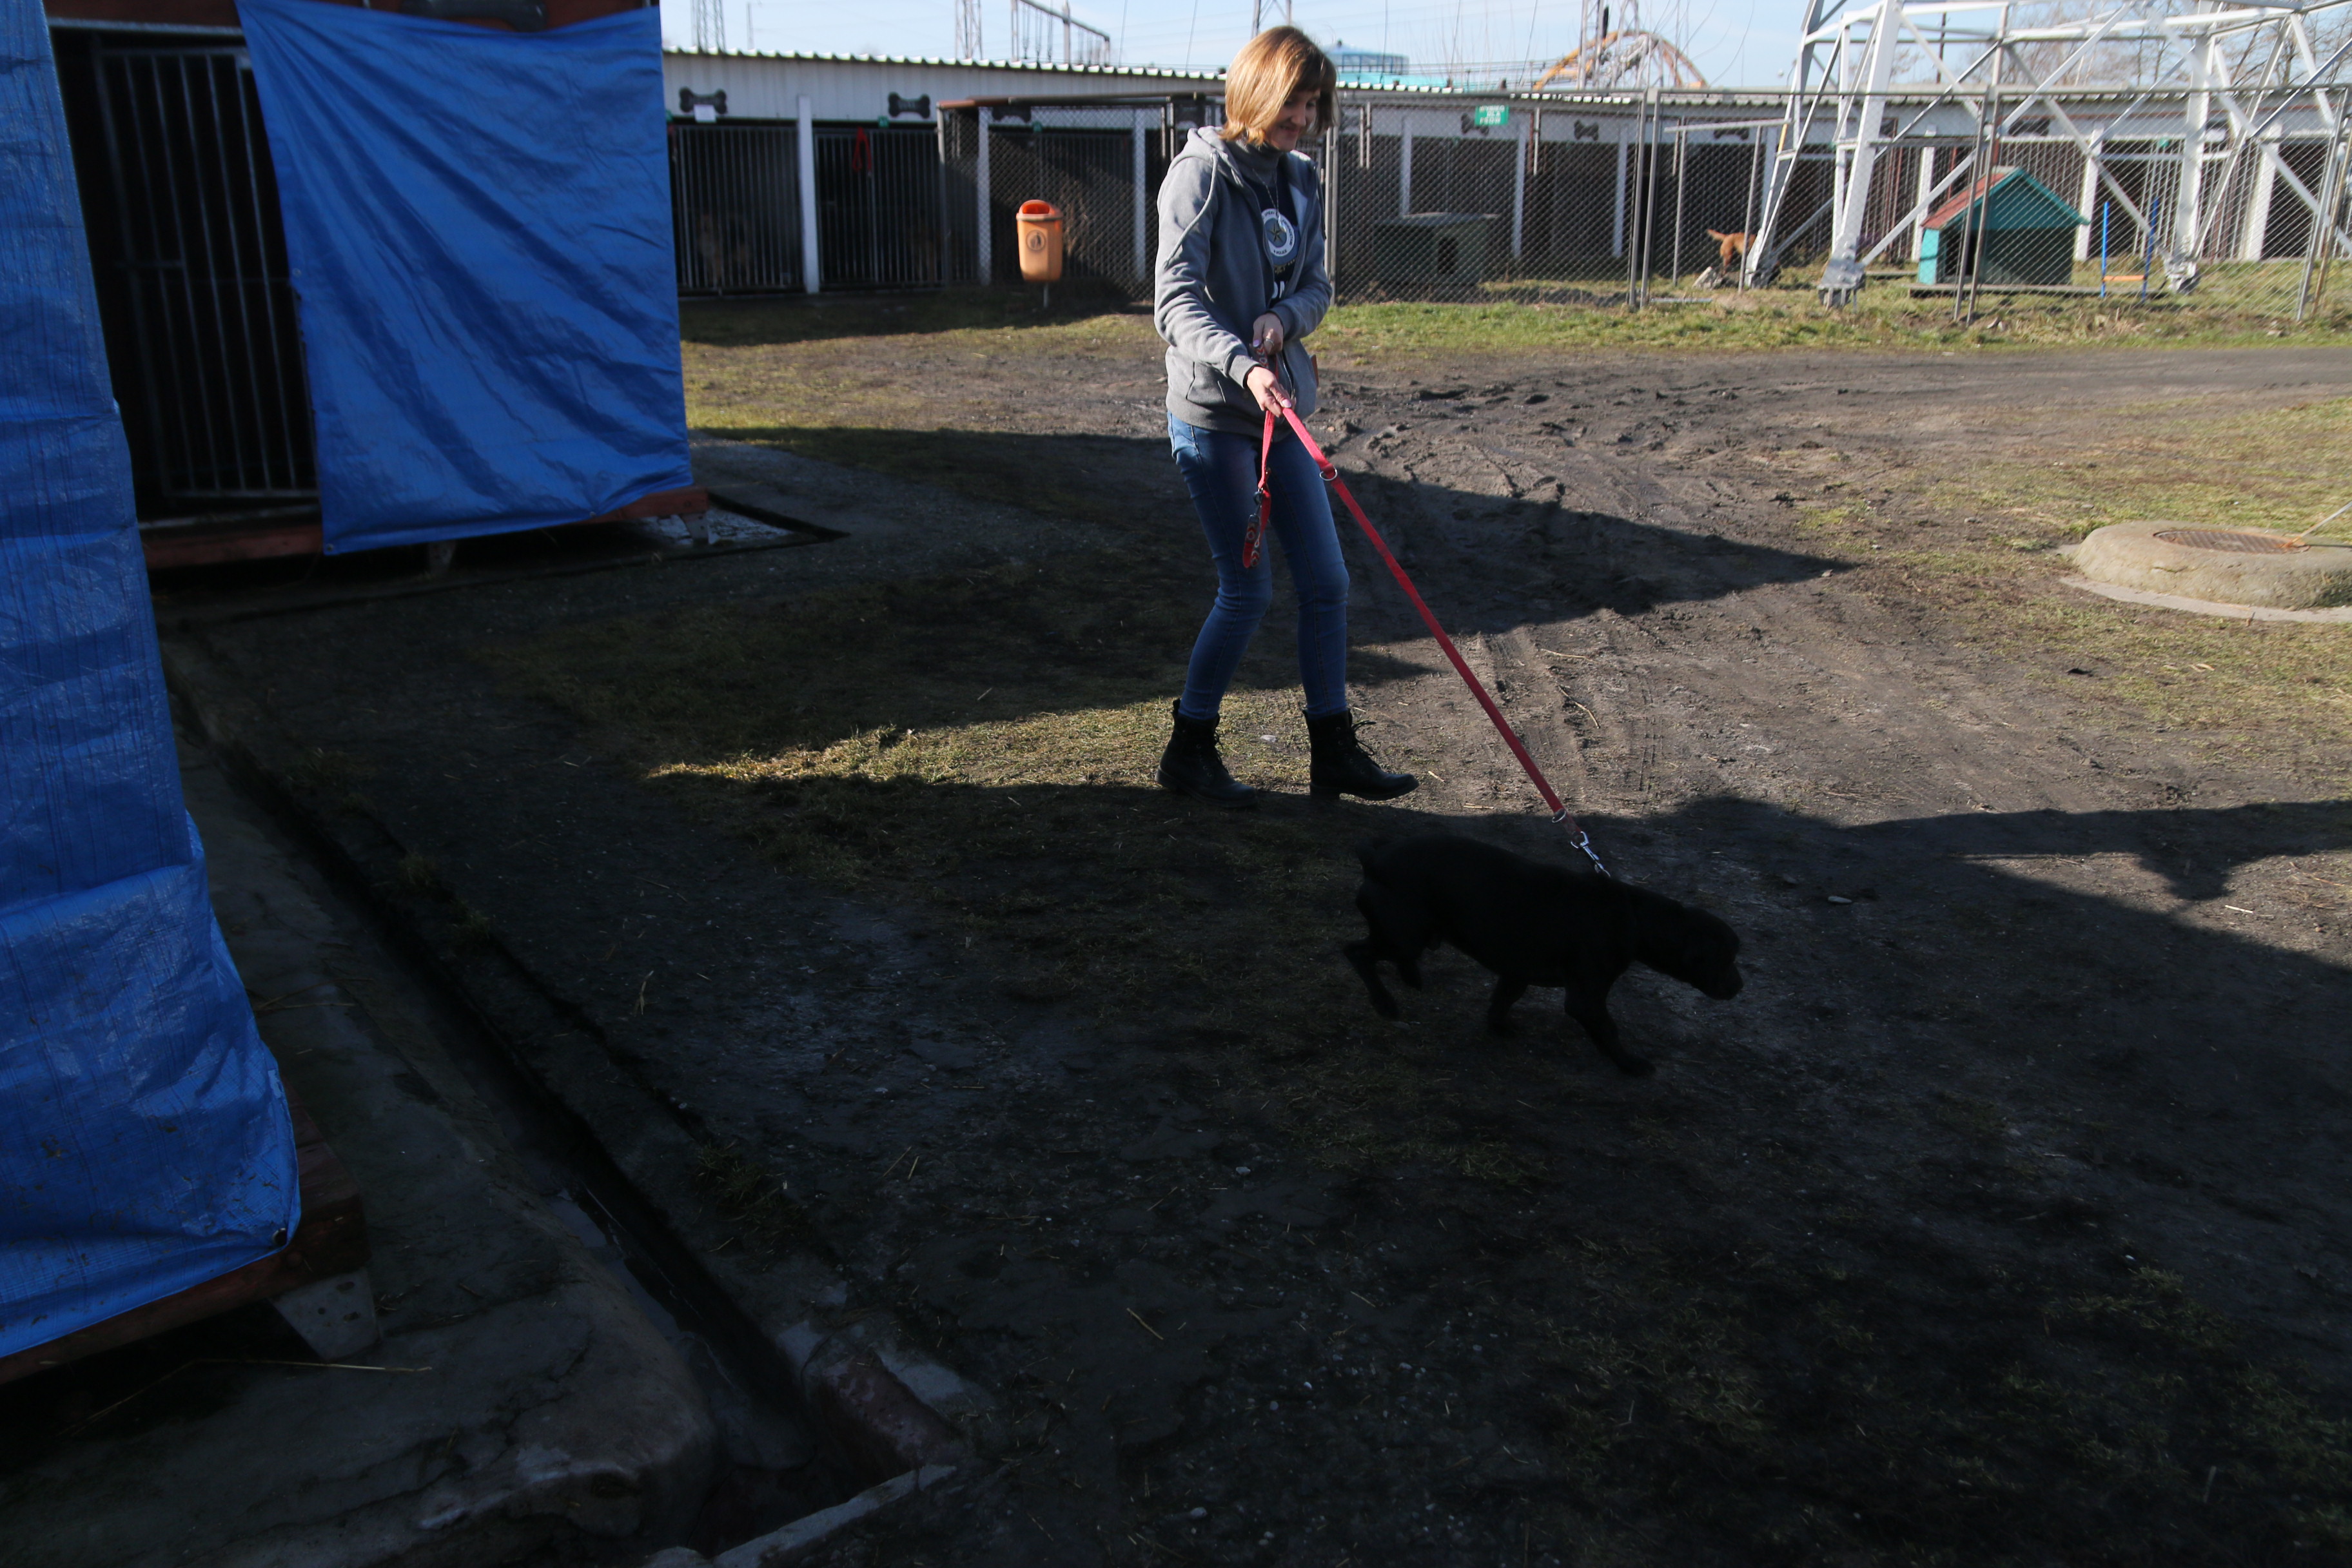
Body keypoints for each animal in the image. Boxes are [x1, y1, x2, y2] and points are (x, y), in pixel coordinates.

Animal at [1344, 835, 1742, 1076]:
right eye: (1726, 959)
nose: (1739, 987)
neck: (1636, 916)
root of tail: (1373, 859)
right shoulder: (1587, 1000)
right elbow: (1609, 1031)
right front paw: (1629, 1063)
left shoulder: (1515, 972)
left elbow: (1502, 1001)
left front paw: (1499, 1027)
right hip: (1404, 935)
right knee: (1357, 953)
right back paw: (1385, 1003)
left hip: (1411, 934)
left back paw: (1410, 977)